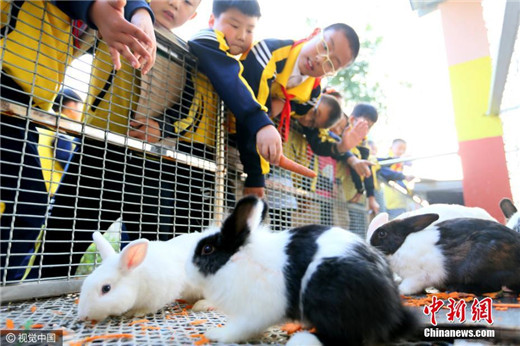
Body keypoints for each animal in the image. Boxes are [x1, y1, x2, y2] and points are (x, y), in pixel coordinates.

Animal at [185, 196, 416, 344]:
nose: (186, 268)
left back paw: (304, 339)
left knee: (345, 336)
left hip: (326, 293)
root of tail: (393, 313)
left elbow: (238, 329)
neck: (235, 261)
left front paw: (215, 335)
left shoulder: (252, 313)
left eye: (207, 249)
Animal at [366, 214, 520, 294]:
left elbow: (406, 287)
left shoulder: (416, 277)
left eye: (382, 233)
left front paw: (398, 289)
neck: (401, 246)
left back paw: (457, 289)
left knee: (493, 287)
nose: (369, 247)